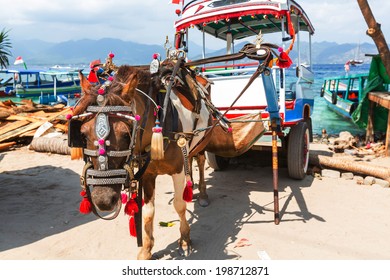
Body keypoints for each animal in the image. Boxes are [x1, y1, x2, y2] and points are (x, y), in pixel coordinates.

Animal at [68, 62, 212, 260]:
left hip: (202, 141)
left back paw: (203, 194)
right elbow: (148, 212)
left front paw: (184, 239)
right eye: (82, 133)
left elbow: (179, 205)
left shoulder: (177, 169)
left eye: (125, 134)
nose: (103, 200)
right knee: (189, 160)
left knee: (200, 161)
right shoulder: (148, 174)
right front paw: (146, 249)